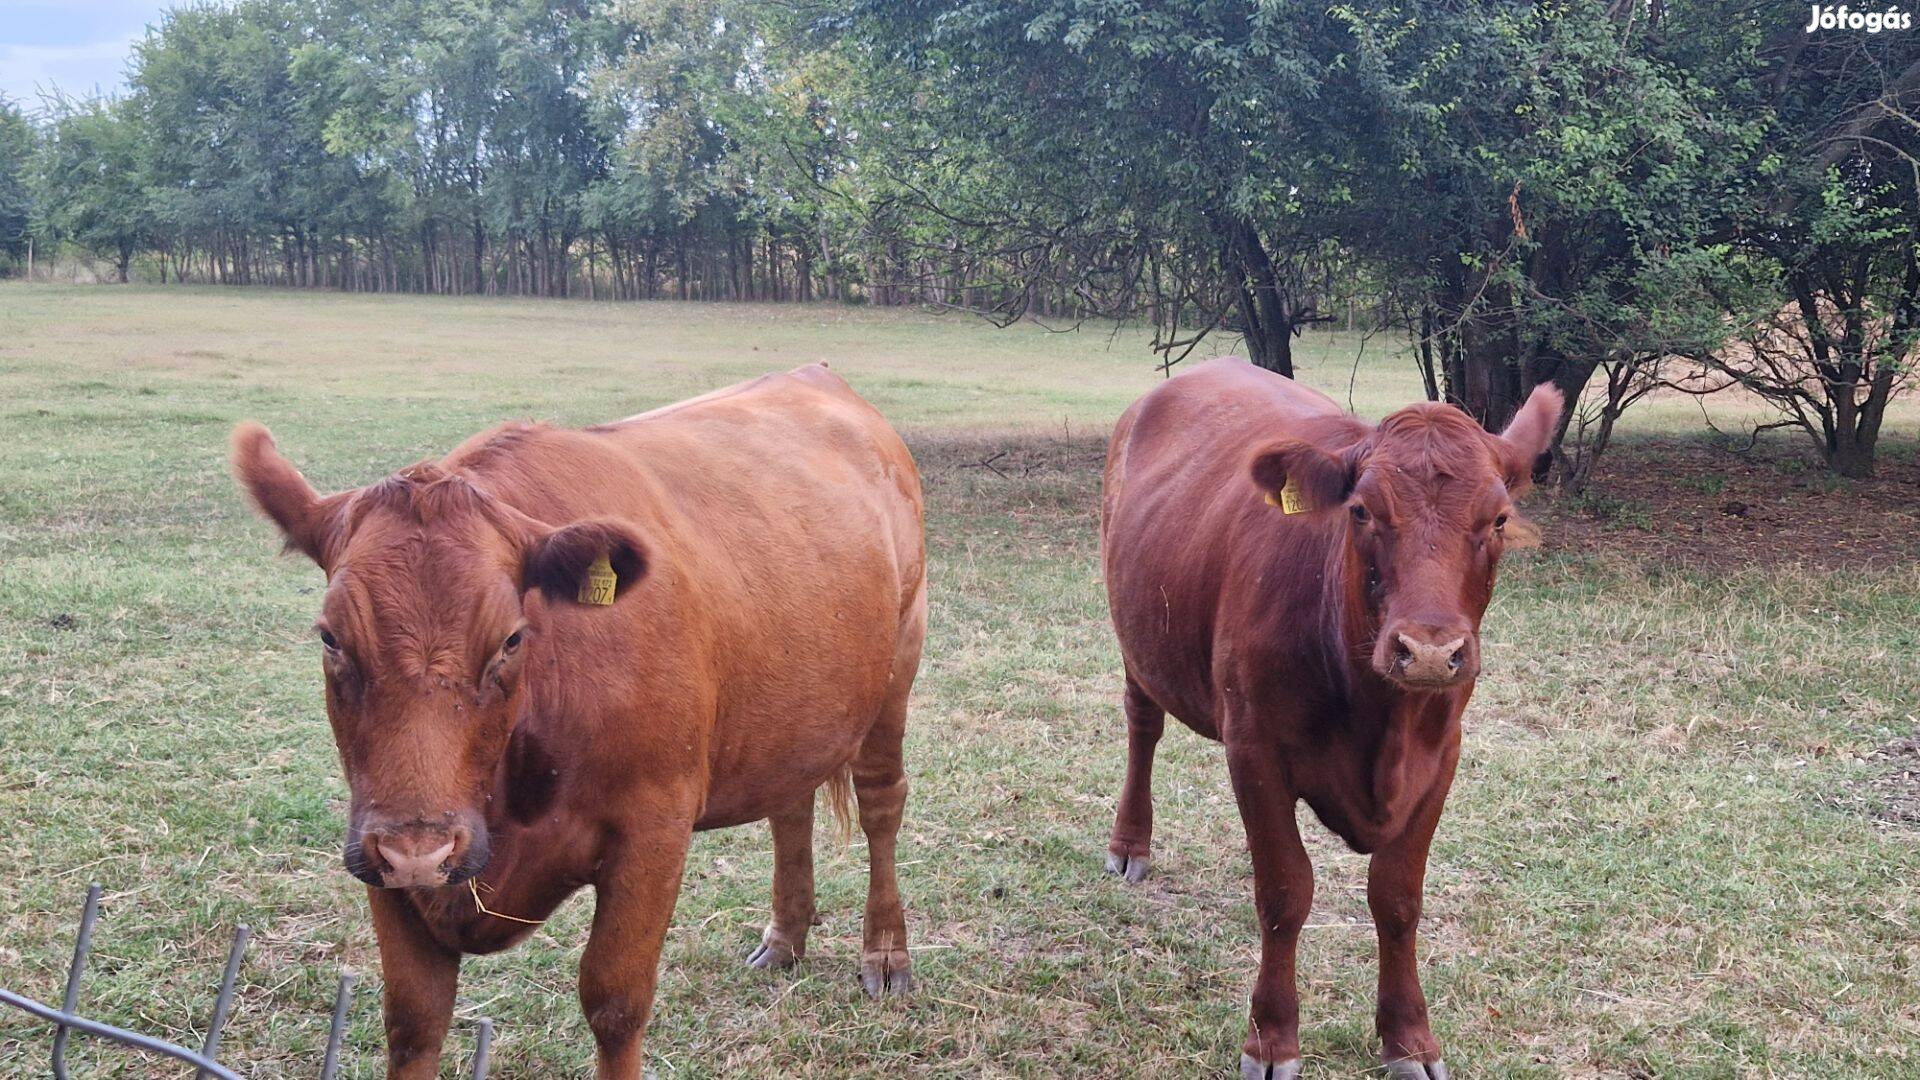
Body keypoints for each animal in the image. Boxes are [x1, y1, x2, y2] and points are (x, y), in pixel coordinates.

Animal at [236, 363, 925, 1076]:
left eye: (511, 639)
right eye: (330, 638)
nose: (420, 850)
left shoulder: (653, 829)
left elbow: (614, 1003)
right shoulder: (380, 852)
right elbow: (413, 1019)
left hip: (900, 657)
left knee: (881, 804)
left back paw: (885, 952)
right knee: (790, 806)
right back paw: (785, 939)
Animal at [1098, 359, 1559, 1076]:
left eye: (1500, 518)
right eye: (1362, 510)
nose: (1430, 650)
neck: (1382, 722)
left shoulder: (1441, 757)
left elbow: (1397, 897)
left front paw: (1409, 1038)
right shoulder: (1254, 750)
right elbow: (1285, 893)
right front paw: (1272, 1039)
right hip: (1137, 637)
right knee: (1142, 725)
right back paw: (1130, 843)